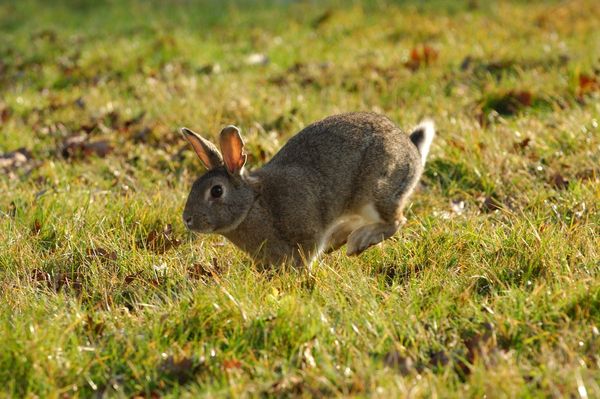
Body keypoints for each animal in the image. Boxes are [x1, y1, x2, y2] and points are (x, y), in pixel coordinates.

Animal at [180, 112, 434, 268]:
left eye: (216, 191)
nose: (187, 219)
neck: (253, 202)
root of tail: (413, 154)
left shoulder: (306, 233)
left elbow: (306, 256)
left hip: (376, 192)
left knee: (395, 221)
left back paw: (357, 242)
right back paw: (338, 240)